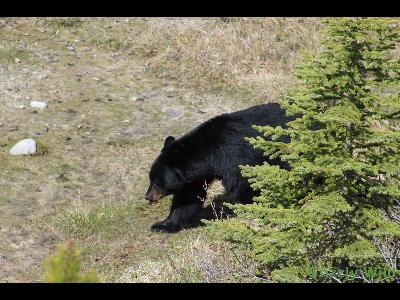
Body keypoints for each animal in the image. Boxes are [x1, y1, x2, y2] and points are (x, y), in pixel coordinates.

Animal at [146, 102, 294, 232]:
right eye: (151, 179)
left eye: (158, 181)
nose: (148, 196)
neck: (210, 155)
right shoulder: (198, 176)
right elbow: (187, 197)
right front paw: (162, 225)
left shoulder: (237, 158)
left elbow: (240, 192)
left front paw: (210, 214)